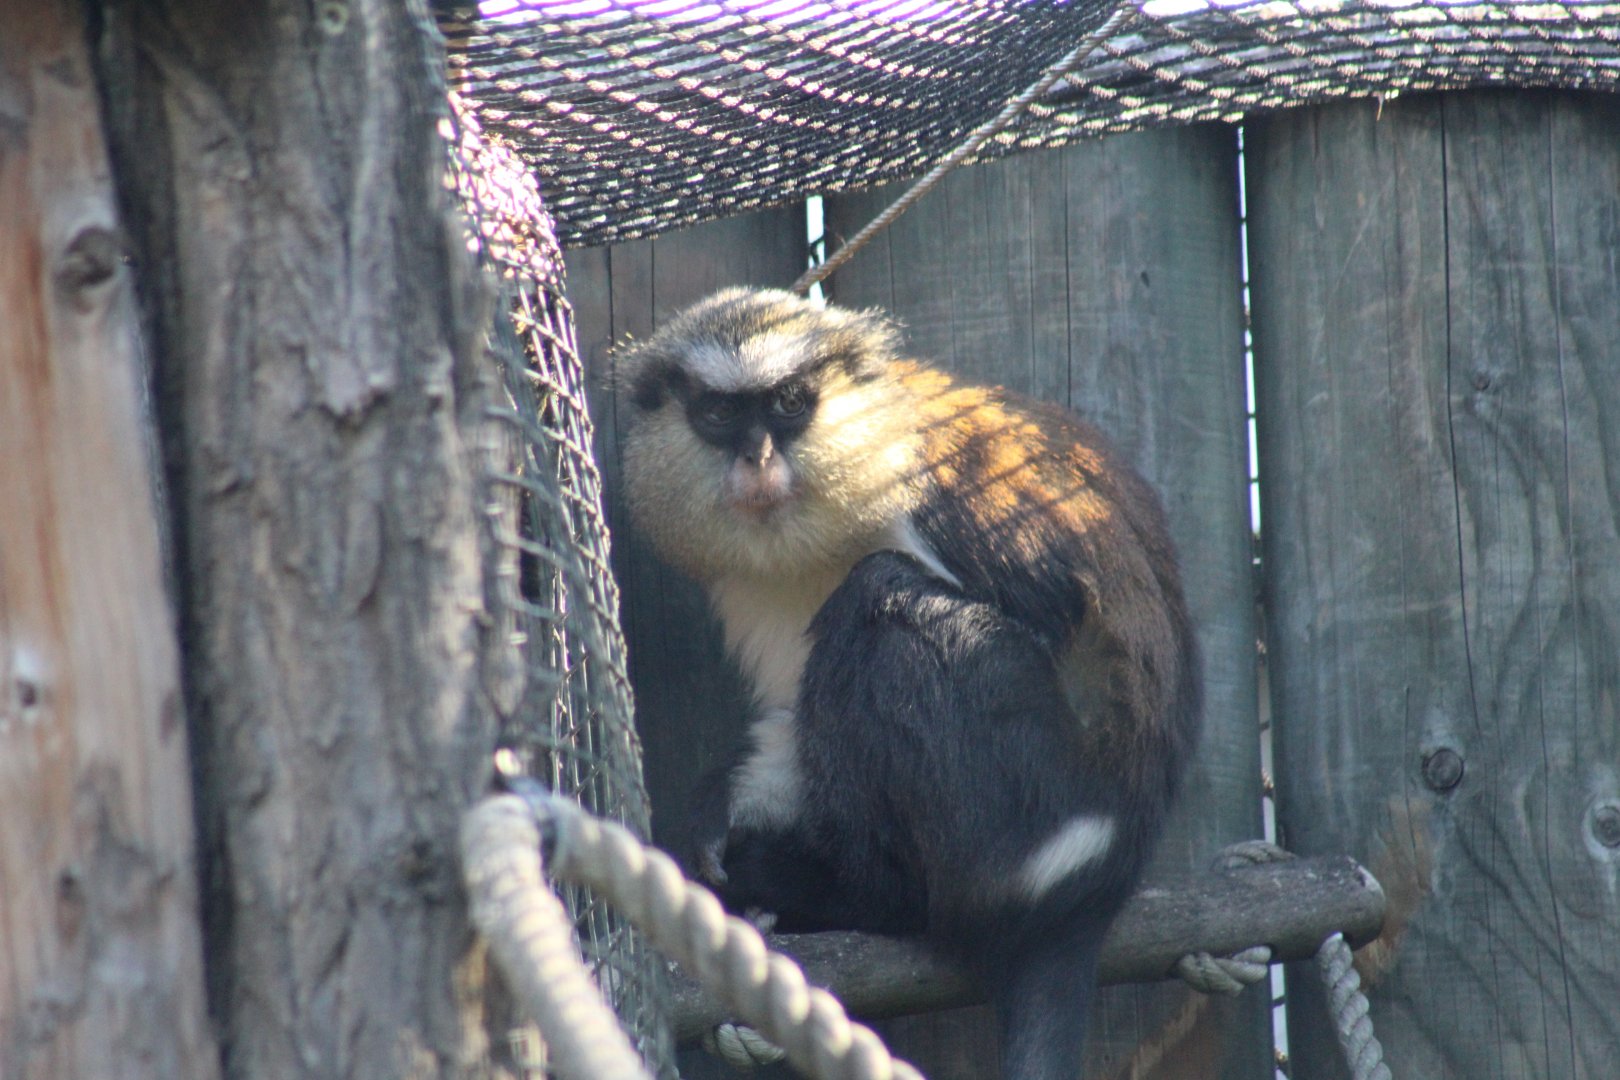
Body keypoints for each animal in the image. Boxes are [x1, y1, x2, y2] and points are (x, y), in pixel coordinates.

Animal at [615, 287, 1201, 1079]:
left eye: (790, 402)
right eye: (718, 413)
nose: (757, 459)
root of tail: (1105, 872)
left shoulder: (944, 498)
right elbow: (792, 711)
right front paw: (722, 808)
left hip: (1043, 808)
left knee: (882, 606)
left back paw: (861, 895)